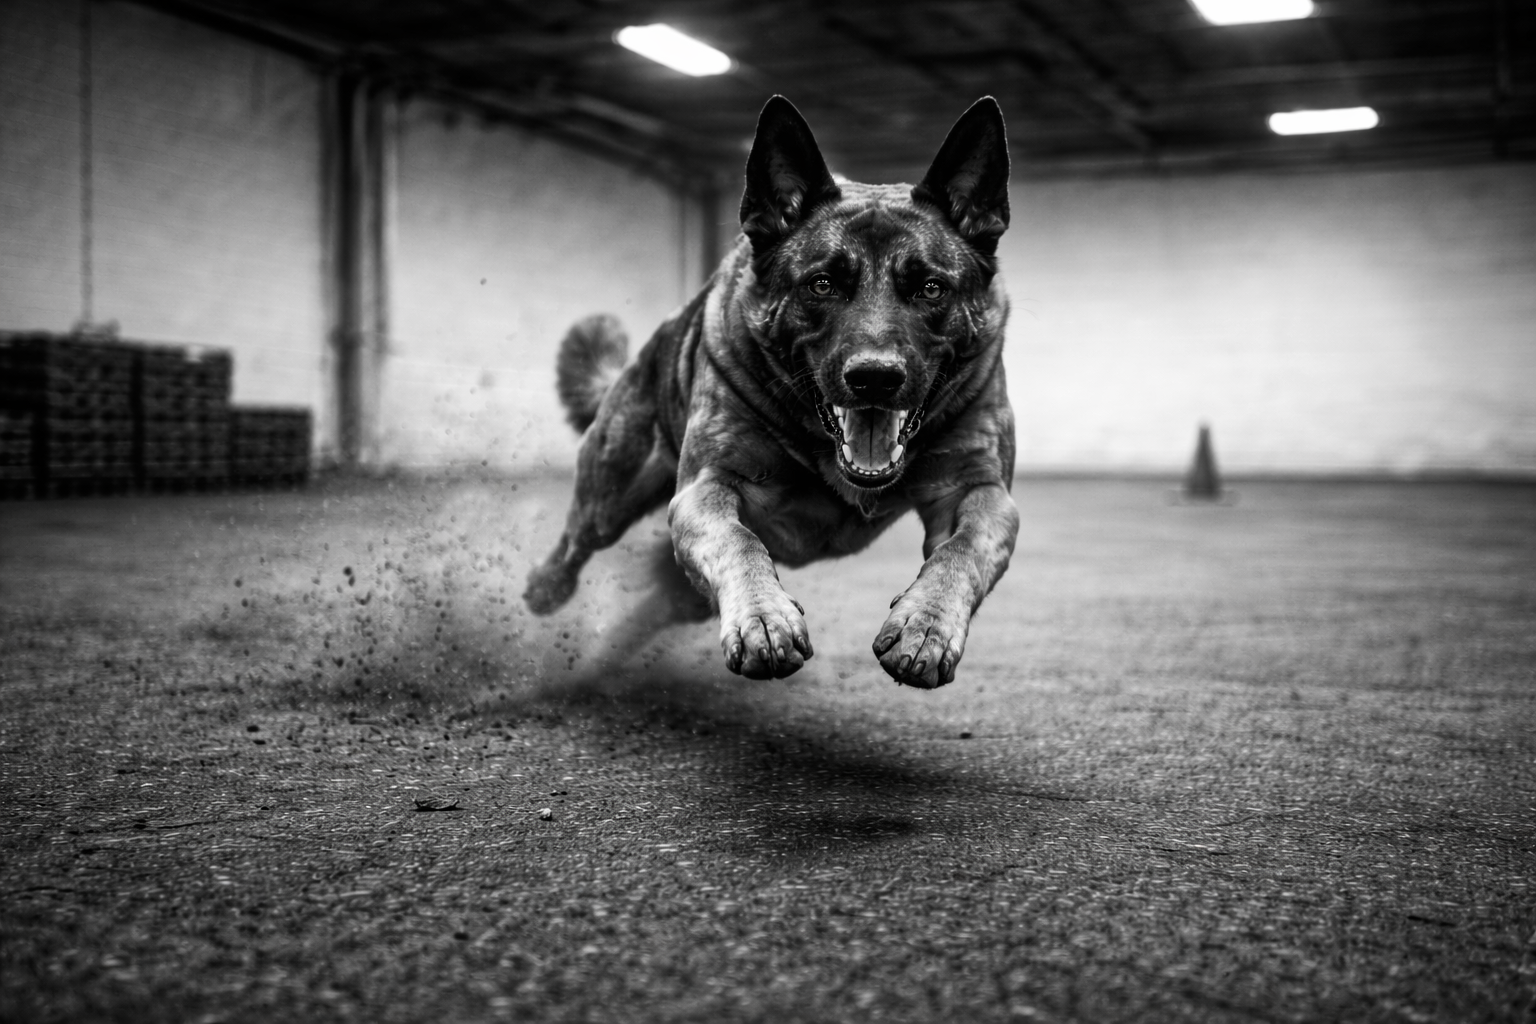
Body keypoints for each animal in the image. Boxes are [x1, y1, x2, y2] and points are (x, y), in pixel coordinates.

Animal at [524, 95, 1018, 689]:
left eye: (931, 288)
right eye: (822, 284)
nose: (875, 377)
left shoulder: (979, 492)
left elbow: (961, 552)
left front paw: (925, 626)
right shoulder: (706, 488)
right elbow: (740, 541)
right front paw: (763, 619)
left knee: (655, 604)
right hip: (611, 492)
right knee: (578, 541)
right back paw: (547, 590)